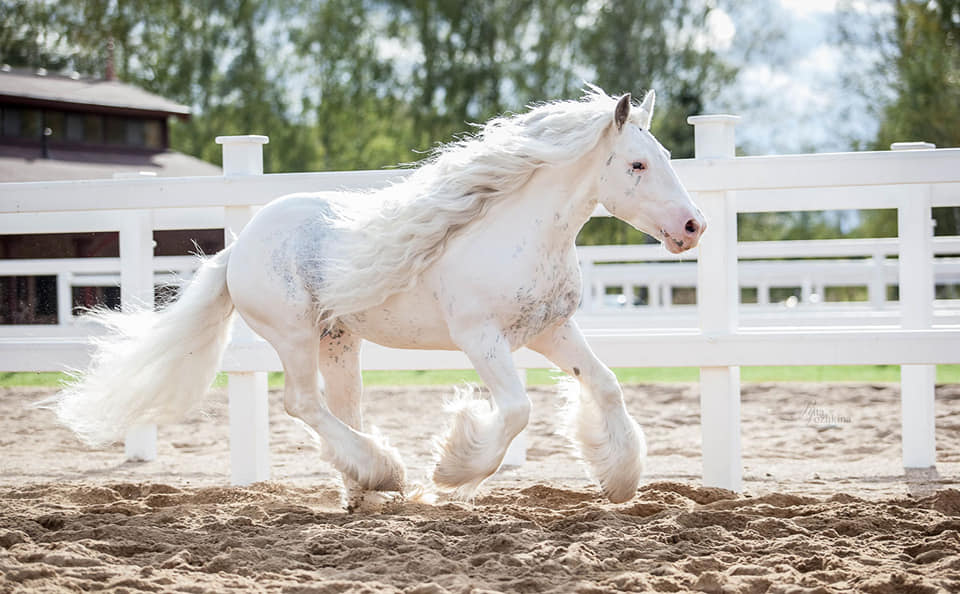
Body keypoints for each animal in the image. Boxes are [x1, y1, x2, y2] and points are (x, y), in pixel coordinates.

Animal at [47, 85, 704, 506]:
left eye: (668, 156)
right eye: (638, 164)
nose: (693, 226)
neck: (515, 231)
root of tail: (238, 247)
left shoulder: (550, 330)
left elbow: (607, 386)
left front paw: (619, 480)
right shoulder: (481, 339)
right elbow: (517, 411)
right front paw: (451, 471)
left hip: (339, 340)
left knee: (342, 408)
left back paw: (364, 491)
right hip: (293, 334)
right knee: (302, 403)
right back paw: (385, 473)